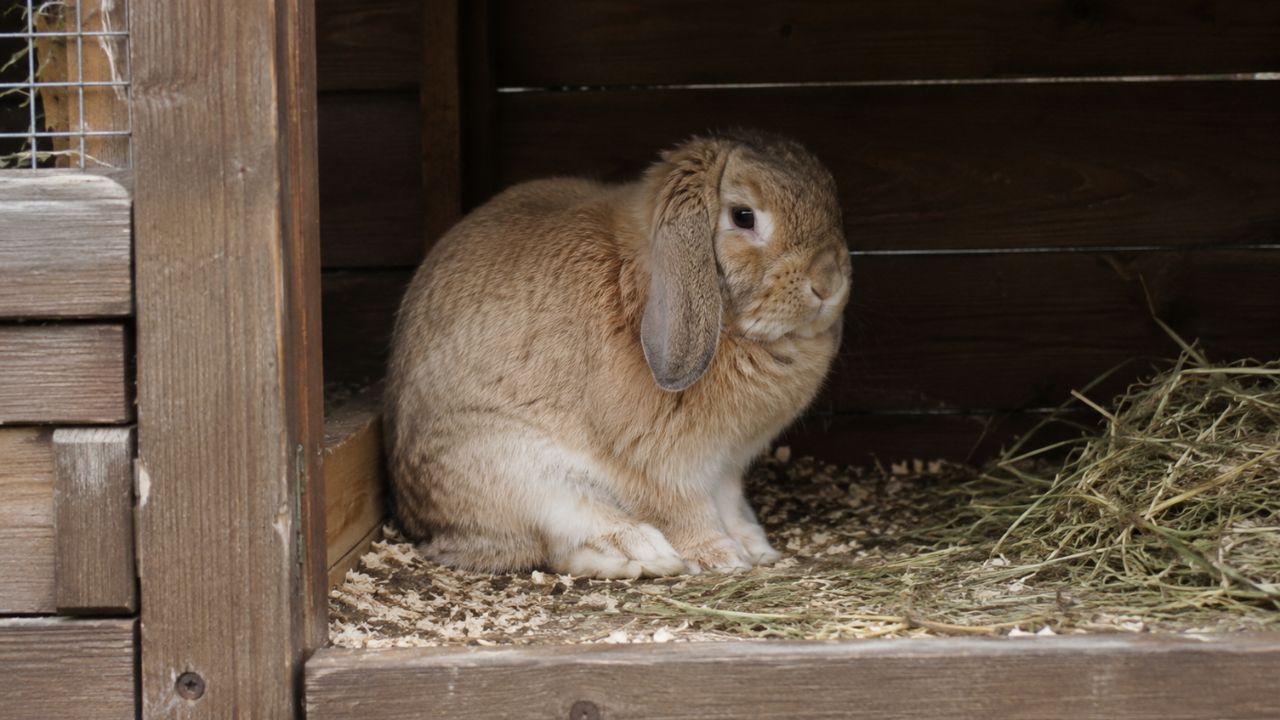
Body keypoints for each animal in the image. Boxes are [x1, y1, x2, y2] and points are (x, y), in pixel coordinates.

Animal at [384, 129, 851, 578]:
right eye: (743, 216)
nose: (828, 283)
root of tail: (420, 520)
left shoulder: (728, 467)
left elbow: (730, 503)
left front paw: (756, 550)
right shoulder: (665, 467)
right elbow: (685, 511)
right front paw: (721, 557)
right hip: (518, 472)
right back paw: (646, 550)